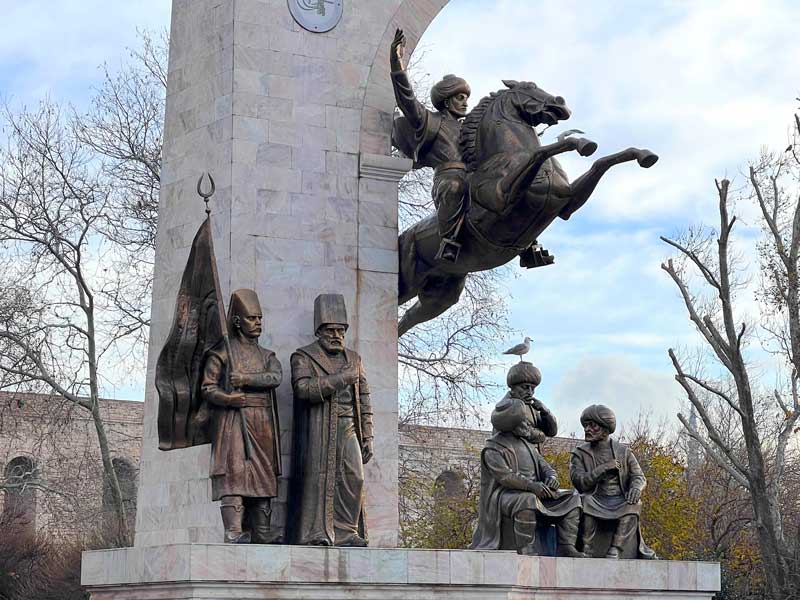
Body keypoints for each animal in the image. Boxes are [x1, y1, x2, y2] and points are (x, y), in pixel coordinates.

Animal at [398, 79, 656, 336]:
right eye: (528, 87)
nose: (560, 104)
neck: (505, 155)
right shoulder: (502, 198)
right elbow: (541, 151)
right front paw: (580, 143)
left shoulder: (567, 205)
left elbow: (601, 162)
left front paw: (643, 154)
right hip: (409, 279)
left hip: (441, 291)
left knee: (410, 317)